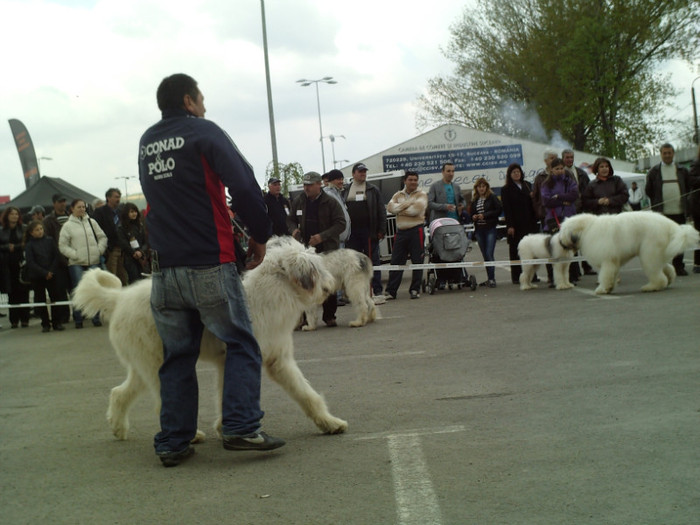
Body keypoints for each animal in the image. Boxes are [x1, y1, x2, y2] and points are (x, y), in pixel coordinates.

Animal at [72, 235, 350, 440]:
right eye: (318, 268)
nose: (330, 285)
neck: (269, 295)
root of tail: (120, 298)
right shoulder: (237, 356)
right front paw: (229, 428)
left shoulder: (278, 360)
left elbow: (306, 393)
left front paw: (330, 423)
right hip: (155, 362)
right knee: (162, 399)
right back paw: (191, 435)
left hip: (142, 364)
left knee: (119, 392)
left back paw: (118, 428)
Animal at [556, 213, 700, 294]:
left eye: (563, 232)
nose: (560, 242)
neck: (587, 229)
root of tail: (671, 226)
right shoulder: (613, 262)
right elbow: (611, 276)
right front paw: (609, 288)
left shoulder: (607, 260)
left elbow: (605, 275)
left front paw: (602, 289)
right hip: (657, 253)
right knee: (667, 268)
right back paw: (669, 279)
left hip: (649, 253)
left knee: (658, 275)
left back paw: (651, 287)